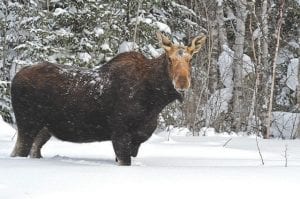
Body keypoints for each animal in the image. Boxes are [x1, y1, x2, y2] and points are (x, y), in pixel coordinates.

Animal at [10, 32, 205, 165]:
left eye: (191, 59)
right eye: (170, 59)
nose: (182, 82)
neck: (155, 101)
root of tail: (15, 77)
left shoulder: (136, 139)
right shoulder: (120, 133)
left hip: (44, 129)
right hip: (27, 124)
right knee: (18, 152)